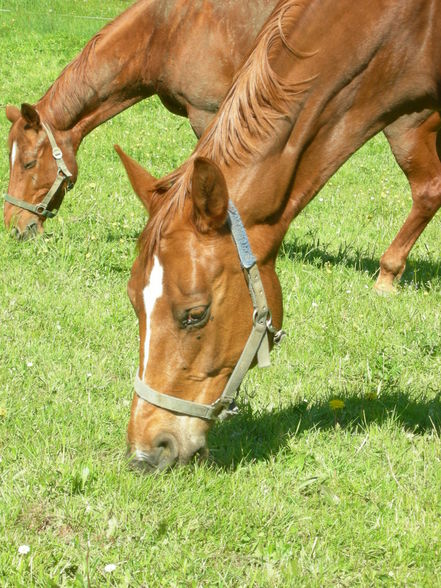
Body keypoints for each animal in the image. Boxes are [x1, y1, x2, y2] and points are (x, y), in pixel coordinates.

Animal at [2, 0, 440, 294]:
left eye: (28, 163)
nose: (15, 227)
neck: (167, 30)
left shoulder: (208, 115)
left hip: (406, 128)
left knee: (427, 190)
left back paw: (388, 273)